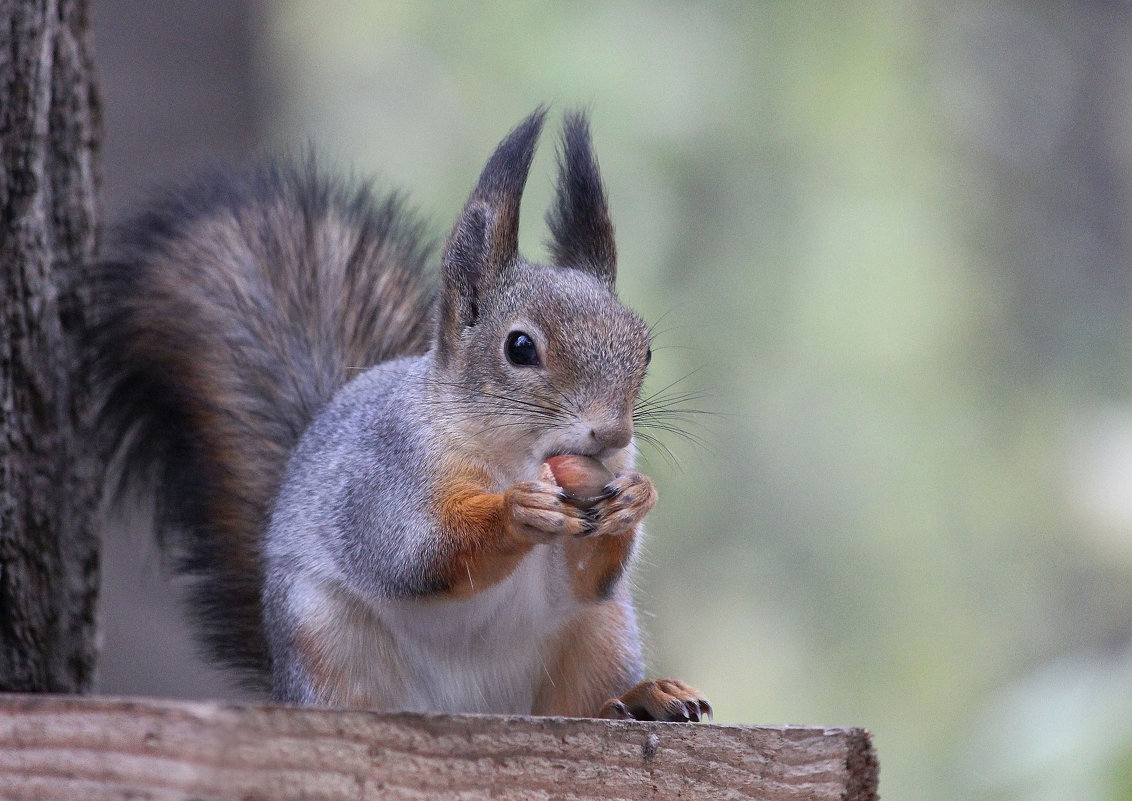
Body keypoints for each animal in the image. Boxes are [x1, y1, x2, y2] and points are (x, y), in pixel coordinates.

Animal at [97, 109, 710, 724]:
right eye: (519, 348)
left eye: (644, 350)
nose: (613, 434)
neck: (512, 455)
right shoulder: (386, 479)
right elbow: (414, 552)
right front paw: (516, 509)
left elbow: (585, 581)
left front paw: (635, 498)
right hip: (323, 639)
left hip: (601, 637)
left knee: (585, 697)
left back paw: (641, 697)